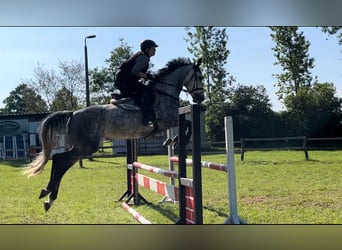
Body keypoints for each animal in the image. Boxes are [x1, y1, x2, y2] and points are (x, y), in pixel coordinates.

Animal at [24, 56, 206, 211]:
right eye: (200, 76)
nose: (200, 98)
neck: (165, 93)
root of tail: (73, 113)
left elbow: (187, 124)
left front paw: (172, 141)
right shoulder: (168, 120)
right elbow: (188, 123)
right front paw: (176, 140)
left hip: (82, 147)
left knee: (61, 162)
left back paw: (48, 195)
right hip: (86, 147)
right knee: (59, 159)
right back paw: (49, 194)